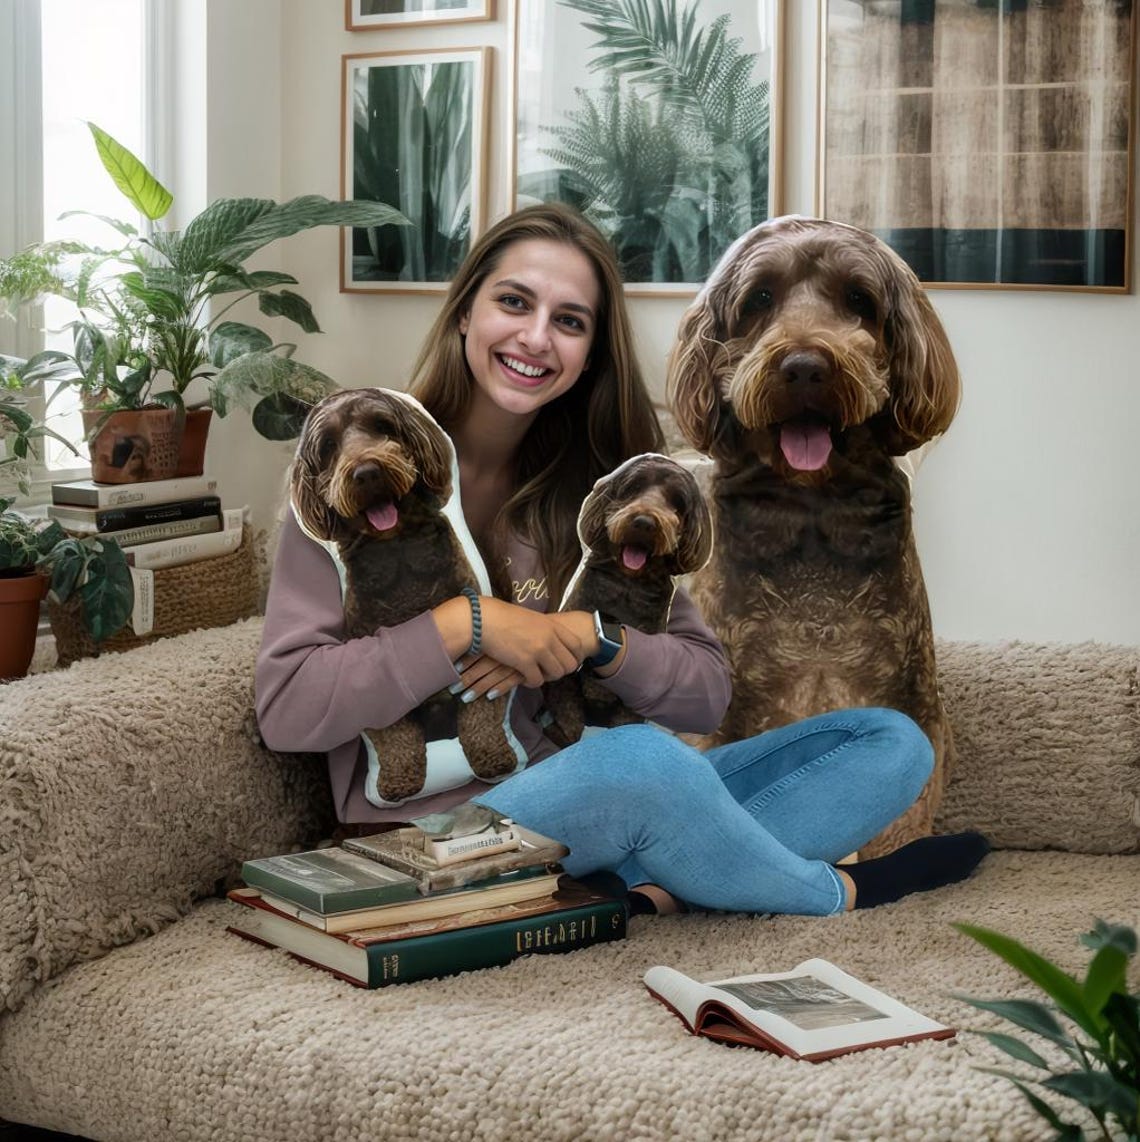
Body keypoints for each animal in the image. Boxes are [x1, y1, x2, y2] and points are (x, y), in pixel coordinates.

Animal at [290, 383, 523, 803]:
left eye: (383, 426)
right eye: (328, 446)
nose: (366, 472)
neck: (397, 552)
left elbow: (480, 712)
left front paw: (493, 757)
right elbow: (392, 732)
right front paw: (398, 782)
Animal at [546, 454, 712, 749]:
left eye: (678, 502)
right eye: (633, 488)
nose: (645, 522)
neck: (627, 584)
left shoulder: (633, 700)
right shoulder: (565, 677)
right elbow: (569, 716)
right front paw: (564, 736)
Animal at [667, 215, 964, 858]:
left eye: (858, 299)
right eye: (759, 299)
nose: (804, 366)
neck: (810, 506)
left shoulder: (910, 698)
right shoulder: (721, 706)